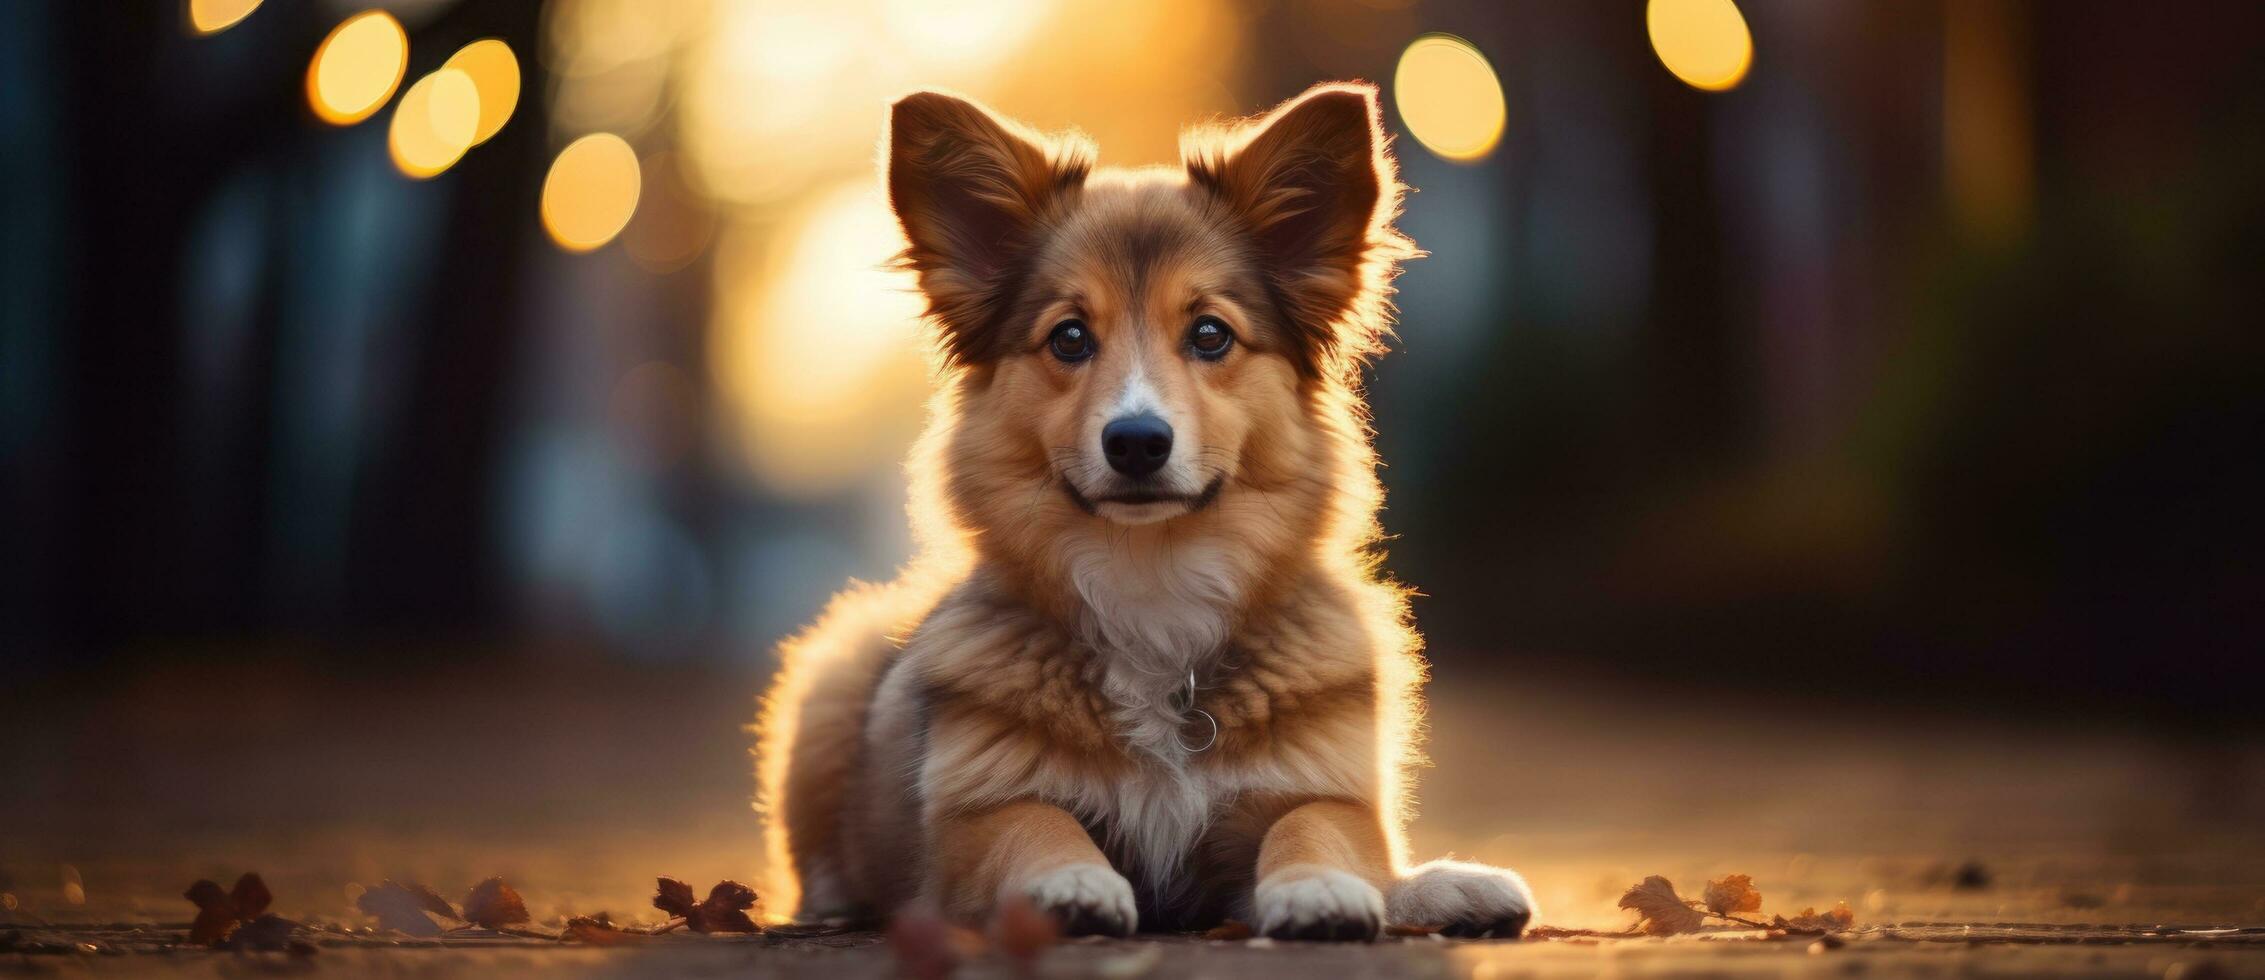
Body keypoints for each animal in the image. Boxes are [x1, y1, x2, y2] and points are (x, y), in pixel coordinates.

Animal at [751, 80, 1531, 936]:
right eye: (1067, 337)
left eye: (1210, 334)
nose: (1135, 442)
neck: (1151, 576)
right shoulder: (973, 814)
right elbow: (1032, 823)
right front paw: (1068, 882)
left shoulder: (1309, 788)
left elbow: (1315, 824)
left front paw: (1320, 888)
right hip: (832, 673)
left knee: (1391, 868)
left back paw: (1454, 887)